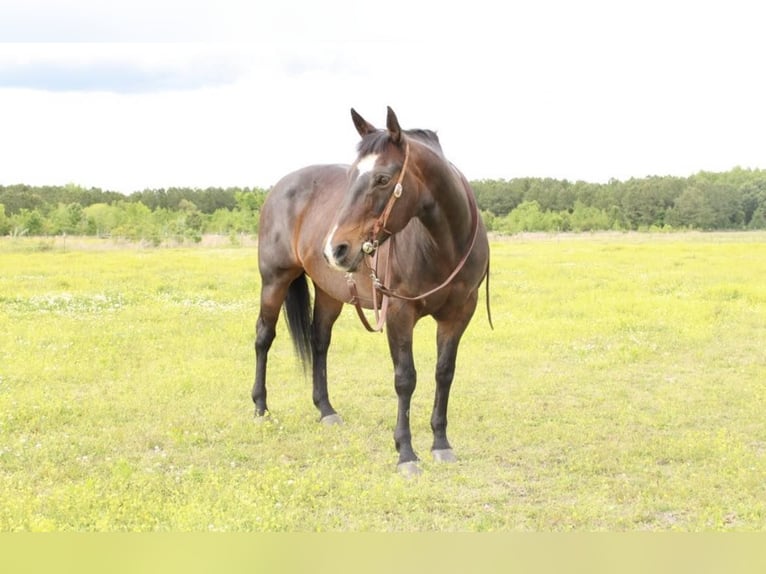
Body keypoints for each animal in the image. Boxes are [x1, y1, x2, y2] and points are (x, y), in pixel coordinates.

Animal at [252, 108, 492, 476]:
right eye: (352, 175)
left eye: (382, 179)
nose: (335, 248)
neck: (444, 244)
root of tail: (279, 187)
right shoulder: (398, 313)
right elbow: (405, 378)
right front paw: (406, 453)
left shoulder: (459, 314)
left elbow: (444, 373)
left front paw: (440, 443)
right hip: (274, 280)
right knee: (264, 336)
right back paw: (261, 408)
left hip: (329, 292)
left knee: (319, 341)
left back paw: (326, 410)